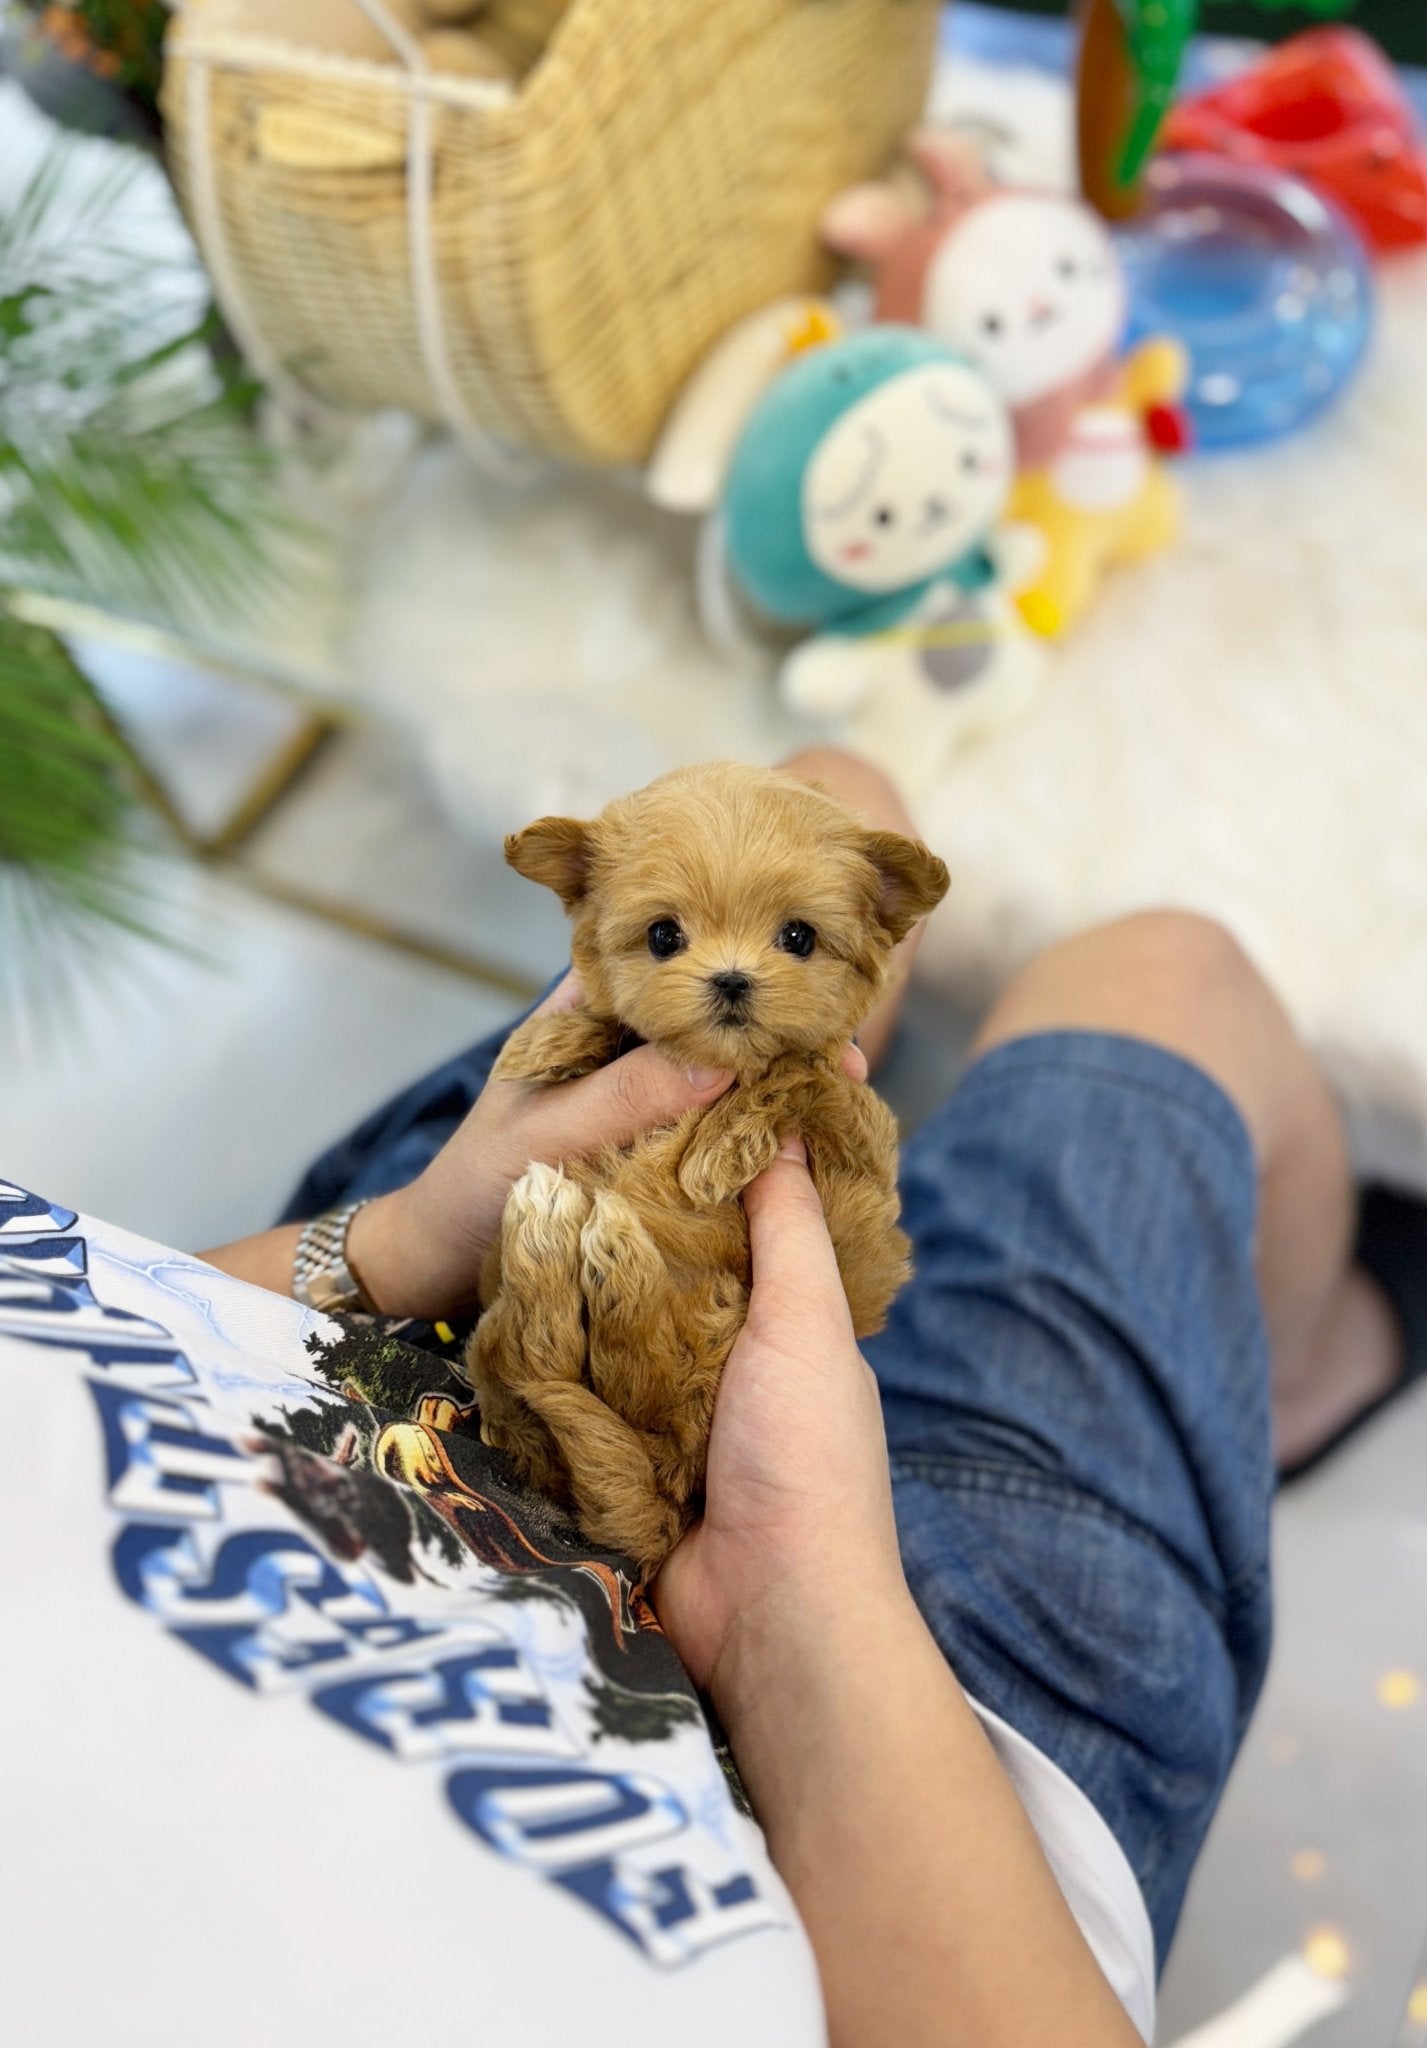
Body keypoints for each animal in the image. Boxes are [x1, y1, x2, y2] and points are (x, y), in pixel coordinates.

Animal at [466, 761, 945, 1572]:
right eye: (664, 935)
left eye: (798, 937)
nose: (730, 979)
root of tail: (667, 1515)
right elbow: (614, 1030)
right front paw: (549, 1042)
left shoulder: (862, 1160)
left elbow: (800, 1075)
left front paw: (722, 1148)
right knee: (530, 1365)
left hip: (713, 1340)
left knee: (592, 1373)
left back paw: (597, 1253)